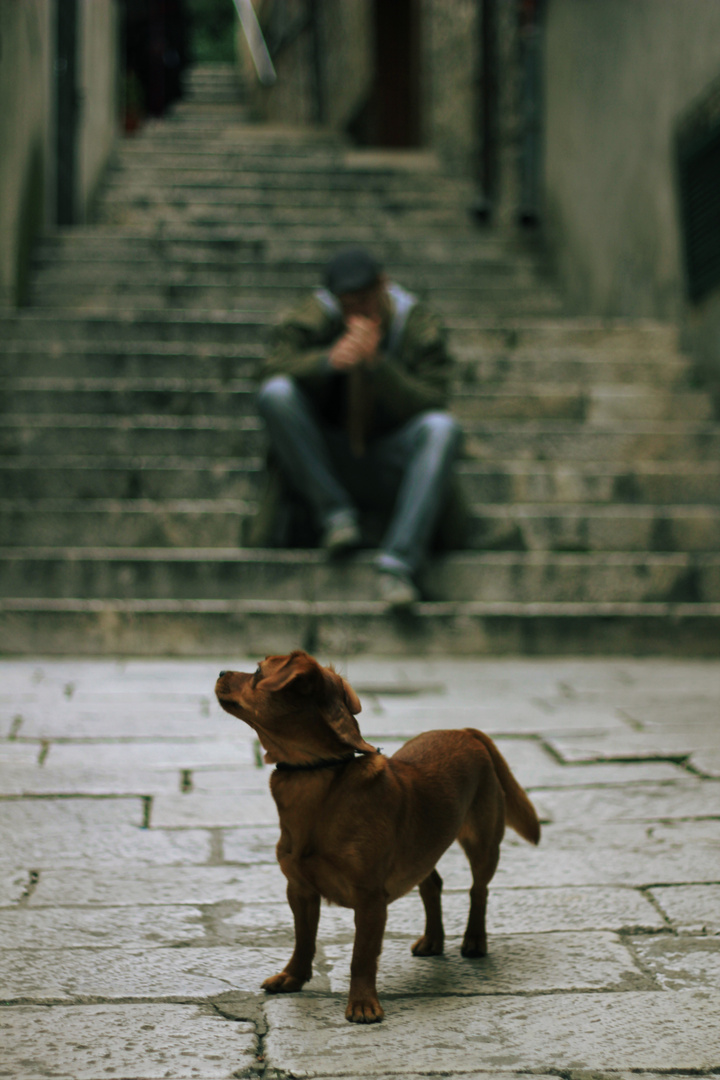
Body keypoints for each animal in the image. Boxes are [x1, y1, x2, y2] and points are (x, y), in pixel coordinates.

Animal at [215, 648, 539, 1019]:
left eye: (256, 672)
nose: (220, 671)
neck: (317, 776)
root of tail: (464, 731)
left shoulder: (370, 899)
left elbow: (362, 956)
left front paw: (362, 1003)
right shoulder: (299, 891)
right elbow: (303, 941)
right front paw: (293, 978)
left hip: (482, 842)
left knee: (478, 890)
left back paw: (474, 940)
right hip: (422, 851)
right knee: (432, 884)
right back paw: (433, 940)